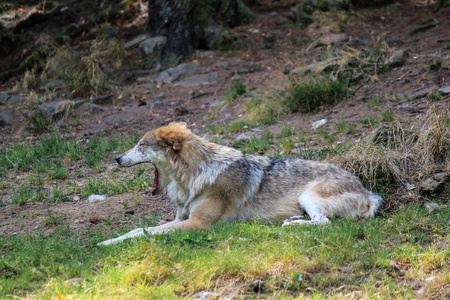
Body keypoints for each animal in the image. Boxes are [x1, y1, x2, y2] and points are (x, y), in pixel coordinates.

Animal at [96, 122, 382, 246]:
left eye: (141, 145)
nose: (117, 158)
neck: (194, 175)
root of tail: (368, 192)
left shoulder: (197, 224)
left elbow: (145, 233)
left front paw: (105, 244)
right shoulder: (181, 219)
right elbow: (139, 229)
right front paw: (108, 241)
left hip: (308, 197)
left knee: (323, 224)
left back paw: (289, 226)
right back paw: (291, 221)